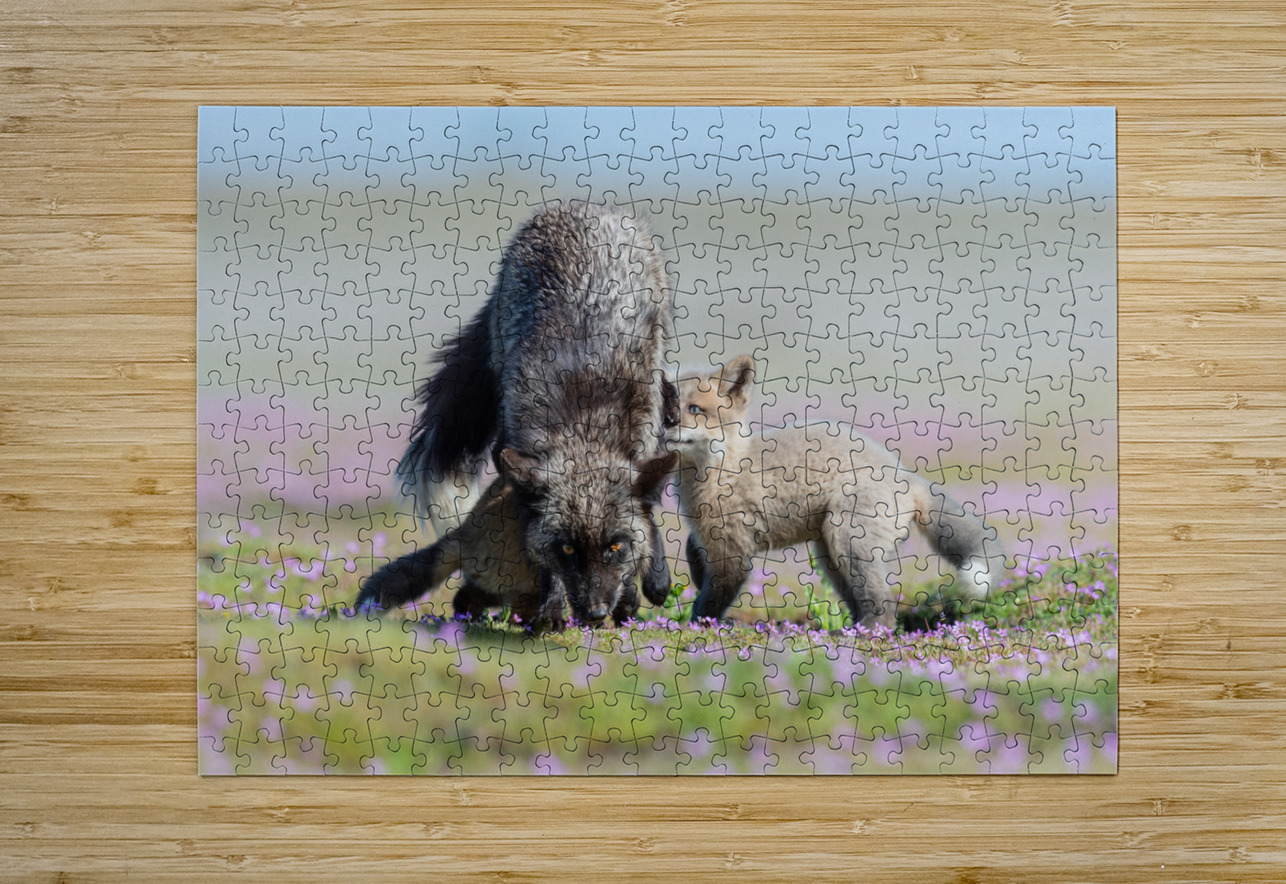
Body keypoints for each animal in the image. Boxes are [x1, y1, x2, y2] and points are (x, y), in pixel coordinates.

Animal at [383, 201, 678, 626]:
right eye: (567, 549)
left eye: (615, 547)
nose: (595, 613)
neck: (583, 428)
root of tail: (581, 206)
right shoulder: (514, 460)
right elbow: (538, 553)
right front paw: (553, 605)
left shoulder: (644, 445)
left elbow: (648, 516)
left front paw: (644, 583)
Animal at [668, 355, 1000, 630]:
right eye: (665, 407)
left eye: (695, 409)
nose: (667, 425)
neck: (725, 468)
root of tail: (906, 473)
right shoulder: (711, 538)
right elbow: (692, 550)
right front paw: (696, 574)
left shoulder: (735, 551)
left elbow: (711, 599)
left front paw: (698, 625)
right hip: (831, 554)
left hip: (847, 539)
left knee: (884, 603)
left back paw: (865, 633)